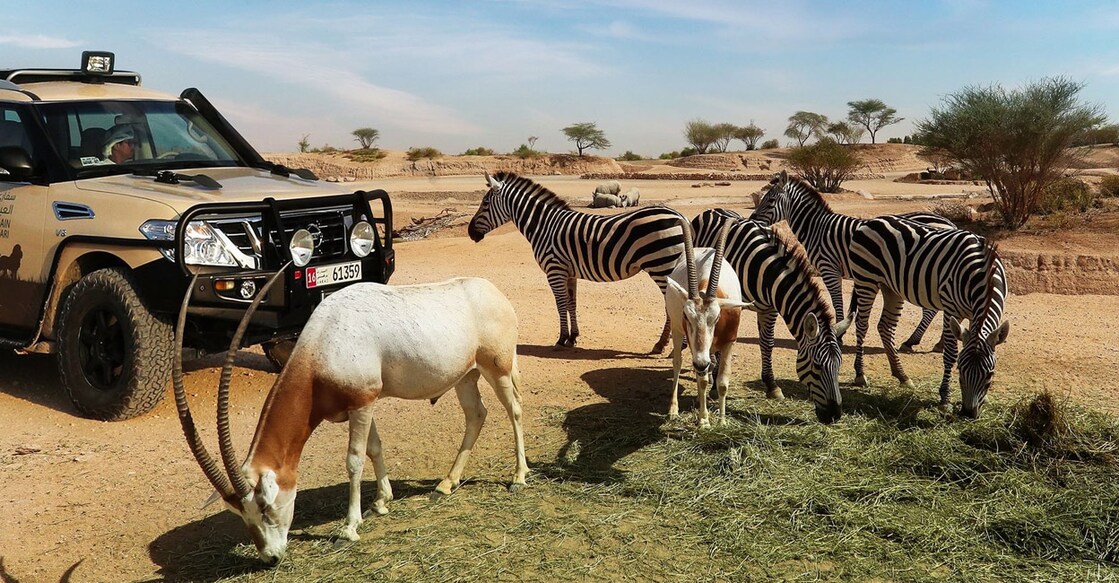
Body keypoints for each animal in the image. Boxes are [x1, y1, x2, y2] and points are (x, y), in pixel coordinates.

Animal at [467, 167, 684, 349]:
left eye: (485, 203)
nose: (470, 232)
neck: (544, 226)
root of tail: (678, 215)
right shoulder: (569, 273)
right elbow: (572, 304)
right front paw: (573, 337)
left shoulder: (554, 270)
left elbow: (560, 304)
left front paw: (562, 338)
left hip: (661, 266)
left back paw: (664, 344)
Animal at [684, 209, 850, 422]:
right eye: (817, 366)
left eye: (839, 366)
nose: (834, 415)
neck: (767, 271)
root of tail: (712, 210)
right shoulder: (733, 305)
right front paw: (713, 386)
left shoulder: (770, 309)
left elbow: (767, 344)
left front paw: (772, 386)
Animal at [747, 167, 957, 349]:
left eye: (770, 200)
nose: (751, 220)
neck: (817, 228)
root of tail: (949, 223)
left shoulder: (829, 268)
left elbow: (837, 301)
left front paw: (839, 335)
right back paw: (939, 343)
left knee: (932, 308)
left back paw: (914, 341)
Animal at [845, 214, 1016, 418]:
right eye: (960, 370)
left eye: (990, 374)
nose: (968, 414)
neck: (984, 275)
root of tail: (871, 221)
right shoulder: (951, 309)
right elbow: (950, 353)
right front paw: (945, 399)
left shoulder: (974, 315)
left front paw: (986, 398)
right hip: (866, 279)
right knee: (862, 325)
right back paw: (860, 374)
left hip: (891, 288)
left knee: (886, 327)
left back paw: (902, 376)